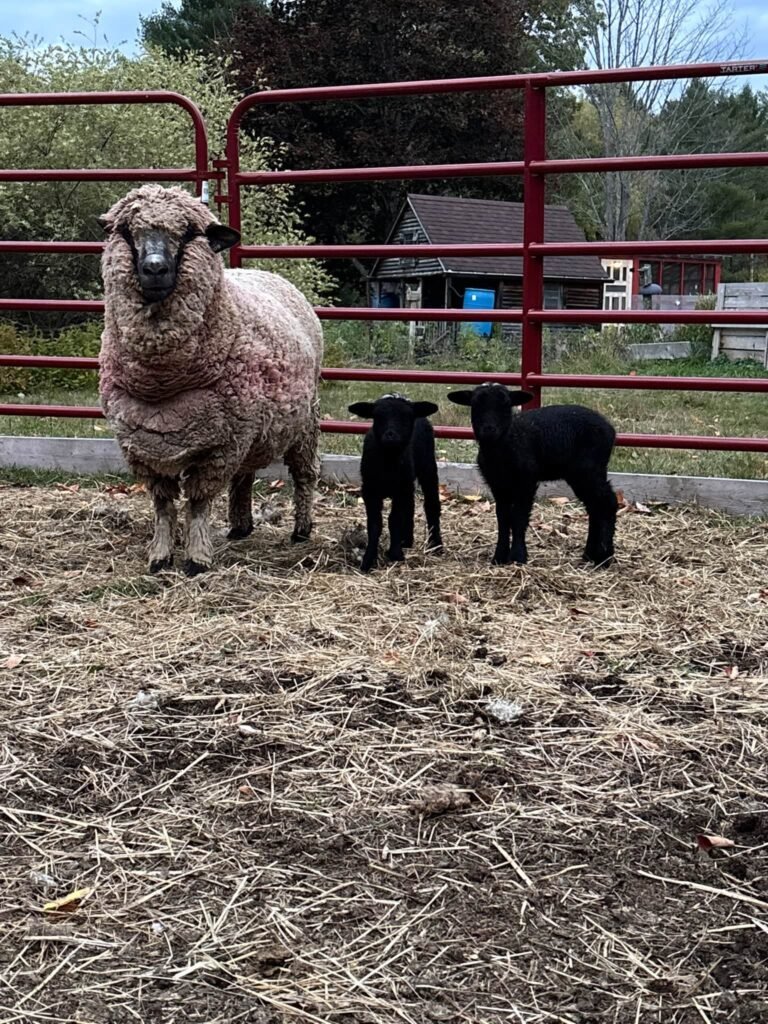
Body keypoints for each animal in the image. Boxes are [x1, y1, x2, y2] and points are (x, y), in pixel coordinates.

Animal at [98, 184, 323, 576]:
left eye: (189, 233)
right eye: (126, 231)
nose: (154, 268)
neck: (162, 382)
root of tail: (263, 273)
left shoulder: (220, 446)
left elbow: (199, 502)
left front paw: (197, 558)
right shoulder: (142, 445)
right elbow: (163, 505)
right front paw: (159, 556)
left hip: (303, 421)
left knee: (304, 474)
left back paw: (301, 529)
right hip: (252, 430)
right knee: (245, 475)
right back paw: (240, 526)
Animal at [348, 393, 443, 572]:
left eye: (407, 416)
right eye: (377, 416)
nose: (390, 435)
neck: (389, 463)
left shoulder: (400, 490)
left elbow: (394, 519)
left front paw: (395, 553)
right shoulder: (370, 491)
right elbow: (375, 524)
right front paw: (368, 559)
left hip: (427, 466)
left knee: (431, 505)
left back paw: (436, 544)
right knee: (411, 504)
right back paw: (407, 540)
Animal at [447, 384, 617, 566]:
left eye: (506, 405)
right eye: (475, 404)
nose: (489, 429)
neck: (505, 445)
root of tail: (610, 429)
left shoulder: (526, 481)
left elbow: (519, 517)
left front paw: (518, 556)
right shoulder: (497, 484)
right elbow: (502, 518)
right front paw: (499, 557)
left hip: (589, 469)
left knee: (607, 502)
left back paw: (604, 556)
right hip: (580, 475)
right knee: (595, 507)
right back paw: (589, 554)